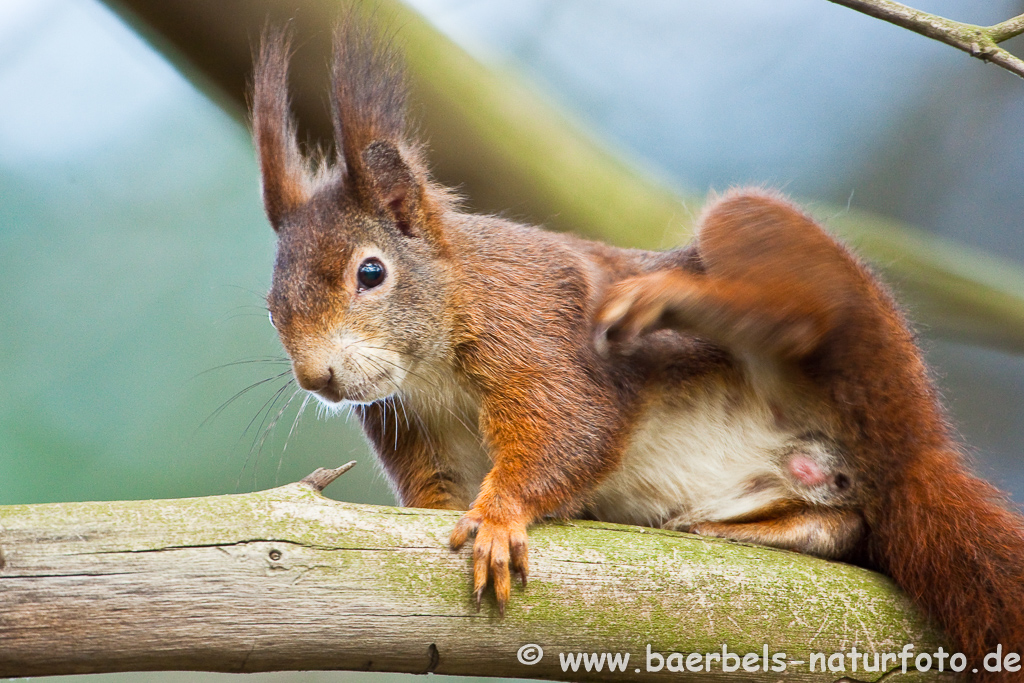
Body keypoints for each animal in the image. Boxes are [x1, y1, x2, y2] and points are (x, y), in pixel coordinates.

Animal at [251, 22, 1024, 679]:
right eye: (270, 301)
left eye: (370, 272)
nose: (316, 377)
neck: (435, 357)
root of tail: (917, 445)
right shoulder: (410, 424)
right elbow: (438, 494)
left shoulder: (535, 328)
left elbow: (572, 426)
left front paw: (499, 518)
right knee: (847, 521)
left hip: (833, 320)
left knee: (803, 318)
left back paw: (679, 297)